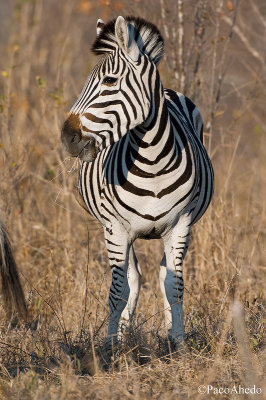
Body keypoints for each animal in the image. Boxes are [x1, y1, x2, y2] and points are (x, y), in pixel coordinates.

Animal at [61, 15, 213, 346]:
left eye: (109, 82)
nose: (67, 137)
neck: (152, 161)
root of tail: (170, 90)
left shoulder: (180, 224)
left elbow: (174, 285)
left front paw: (178, 342)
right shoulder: (116, 228)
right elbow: (119, 290)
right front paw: (109, 347)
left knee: (161, 275)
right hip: (115, 231)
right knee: (134, 278)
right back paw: (122, 335)